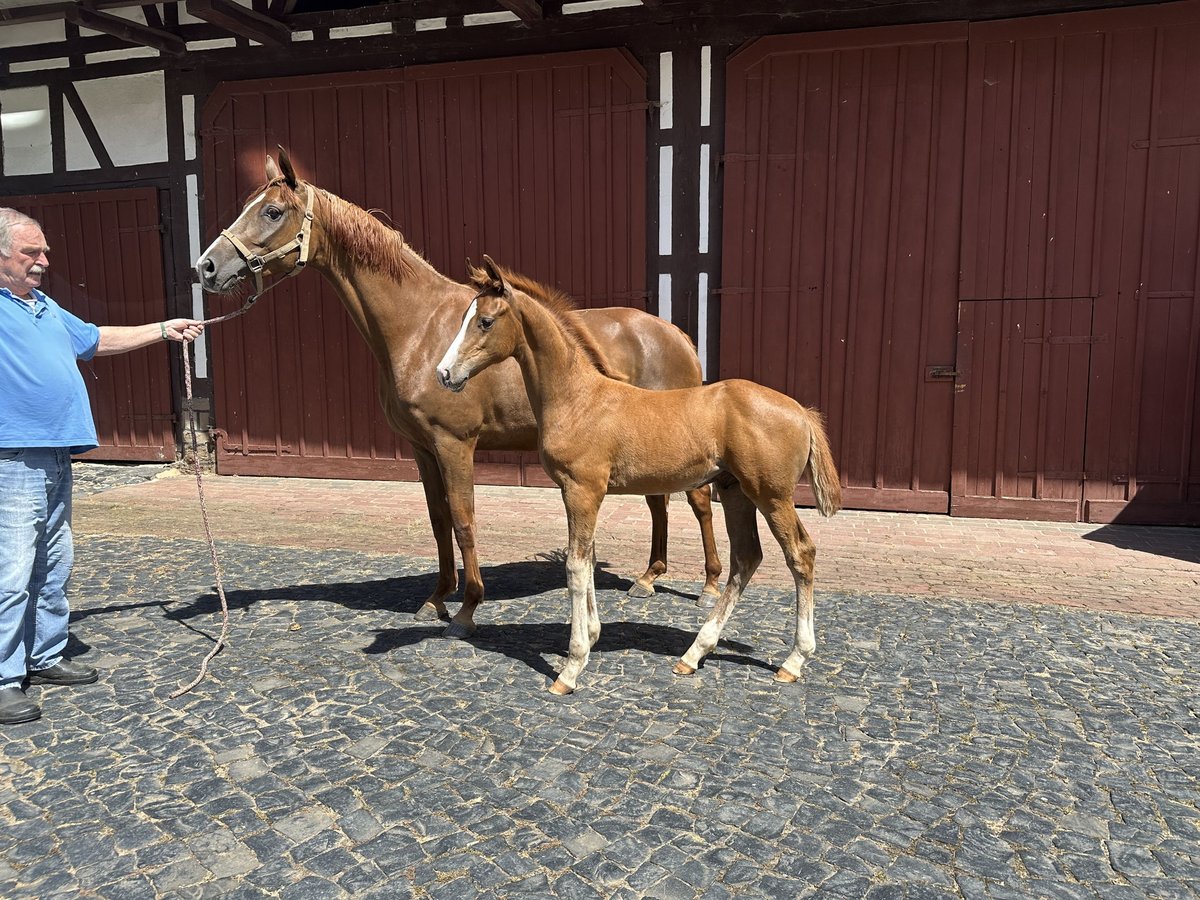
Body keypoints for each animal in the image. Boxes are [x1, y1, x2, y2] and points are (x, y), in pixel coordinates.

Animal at [436, 256, 840, 696]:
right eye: (464, 317)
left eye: (485, 321)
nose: (444, 374)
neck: (578, 398)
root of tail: (802, 412)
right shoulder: (582, 492)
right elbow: (588, 560)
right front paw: (593, 635)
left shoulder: (582, 489)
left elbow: (575, 566)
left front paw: (572, 666)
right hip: (735, 491)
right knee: (746, 558)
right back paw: (693, 654)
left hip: (771, 495)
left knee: (800, 555)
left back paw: (793, 660)